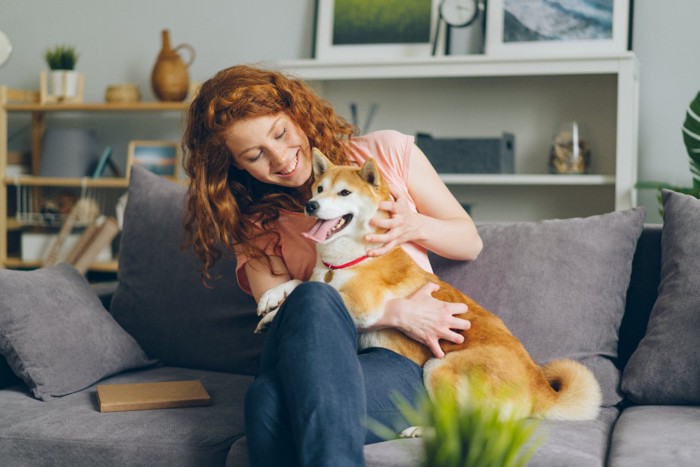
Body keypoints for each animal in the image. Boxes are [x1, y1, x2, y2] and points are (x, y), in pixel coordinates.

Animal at [258, 149, 600, 428]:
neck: (350, 258)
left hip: (438, 367)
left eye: (344, 192)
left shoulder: (362, 303)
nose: (311, 205)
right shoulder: (324, 276)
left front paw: (276, 313)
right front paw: (271, 297)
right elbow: (303, 281)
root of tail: (539, 387)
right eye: (319, 188)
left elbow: (311, 290)